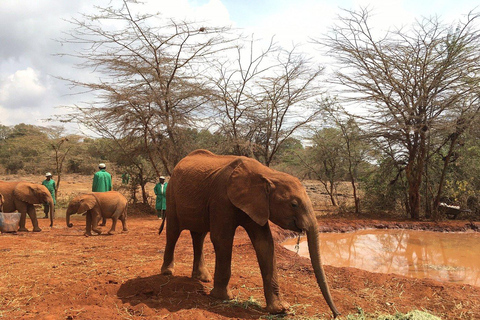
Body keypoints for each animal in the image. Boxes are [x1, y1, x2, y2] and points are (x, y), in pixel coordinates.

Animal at [159, 150, 340, 318]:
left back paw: (202, 278)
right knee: (173, 232)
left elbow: (265, 242)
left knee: (199, 235)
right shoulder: (221, 199)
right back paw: (167, 272)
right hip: (171, 194)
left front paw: (280, 309)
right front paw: (223, 297)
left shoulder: (258, 205)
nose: (336, 314)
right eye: (294, 204)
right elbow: (222, 239)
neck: (268, 174)